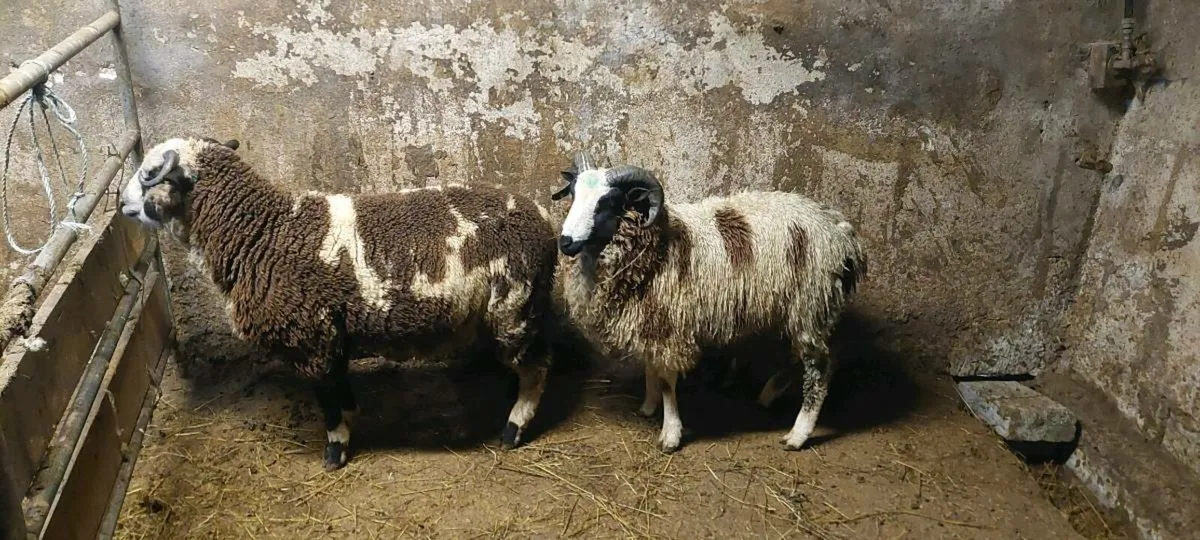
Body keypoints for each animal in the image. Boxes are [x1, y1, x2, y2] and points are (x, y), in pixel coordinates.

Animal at [119, 137, 558, 470]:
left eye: (148, 174)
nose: (120, 204)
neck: (263, 234)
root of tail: (543, 218)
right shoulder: (332, 335)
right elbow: (339, 389)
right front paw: (350, 419)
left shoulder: (310, 336)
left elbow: (326, 400)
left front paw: (335, 449)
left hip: (514, 307)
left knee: (538, 368)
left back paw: (514, 428)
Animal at [551, 153, 866, 453]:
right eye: (573, 194)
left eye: (608, 201)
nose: (565, 242)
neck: (658, 246)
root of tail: (843, 235)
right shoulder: (653, 320)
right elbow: (652, 368)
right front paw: (648, 407)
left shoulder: (671, 324)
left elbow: (667, 381)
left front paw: (671, 434)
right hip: (797, 310)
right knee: (799, 357)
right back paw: (768, 395)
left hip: (812, 303)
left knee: (819, 368)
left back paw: (798, 436)